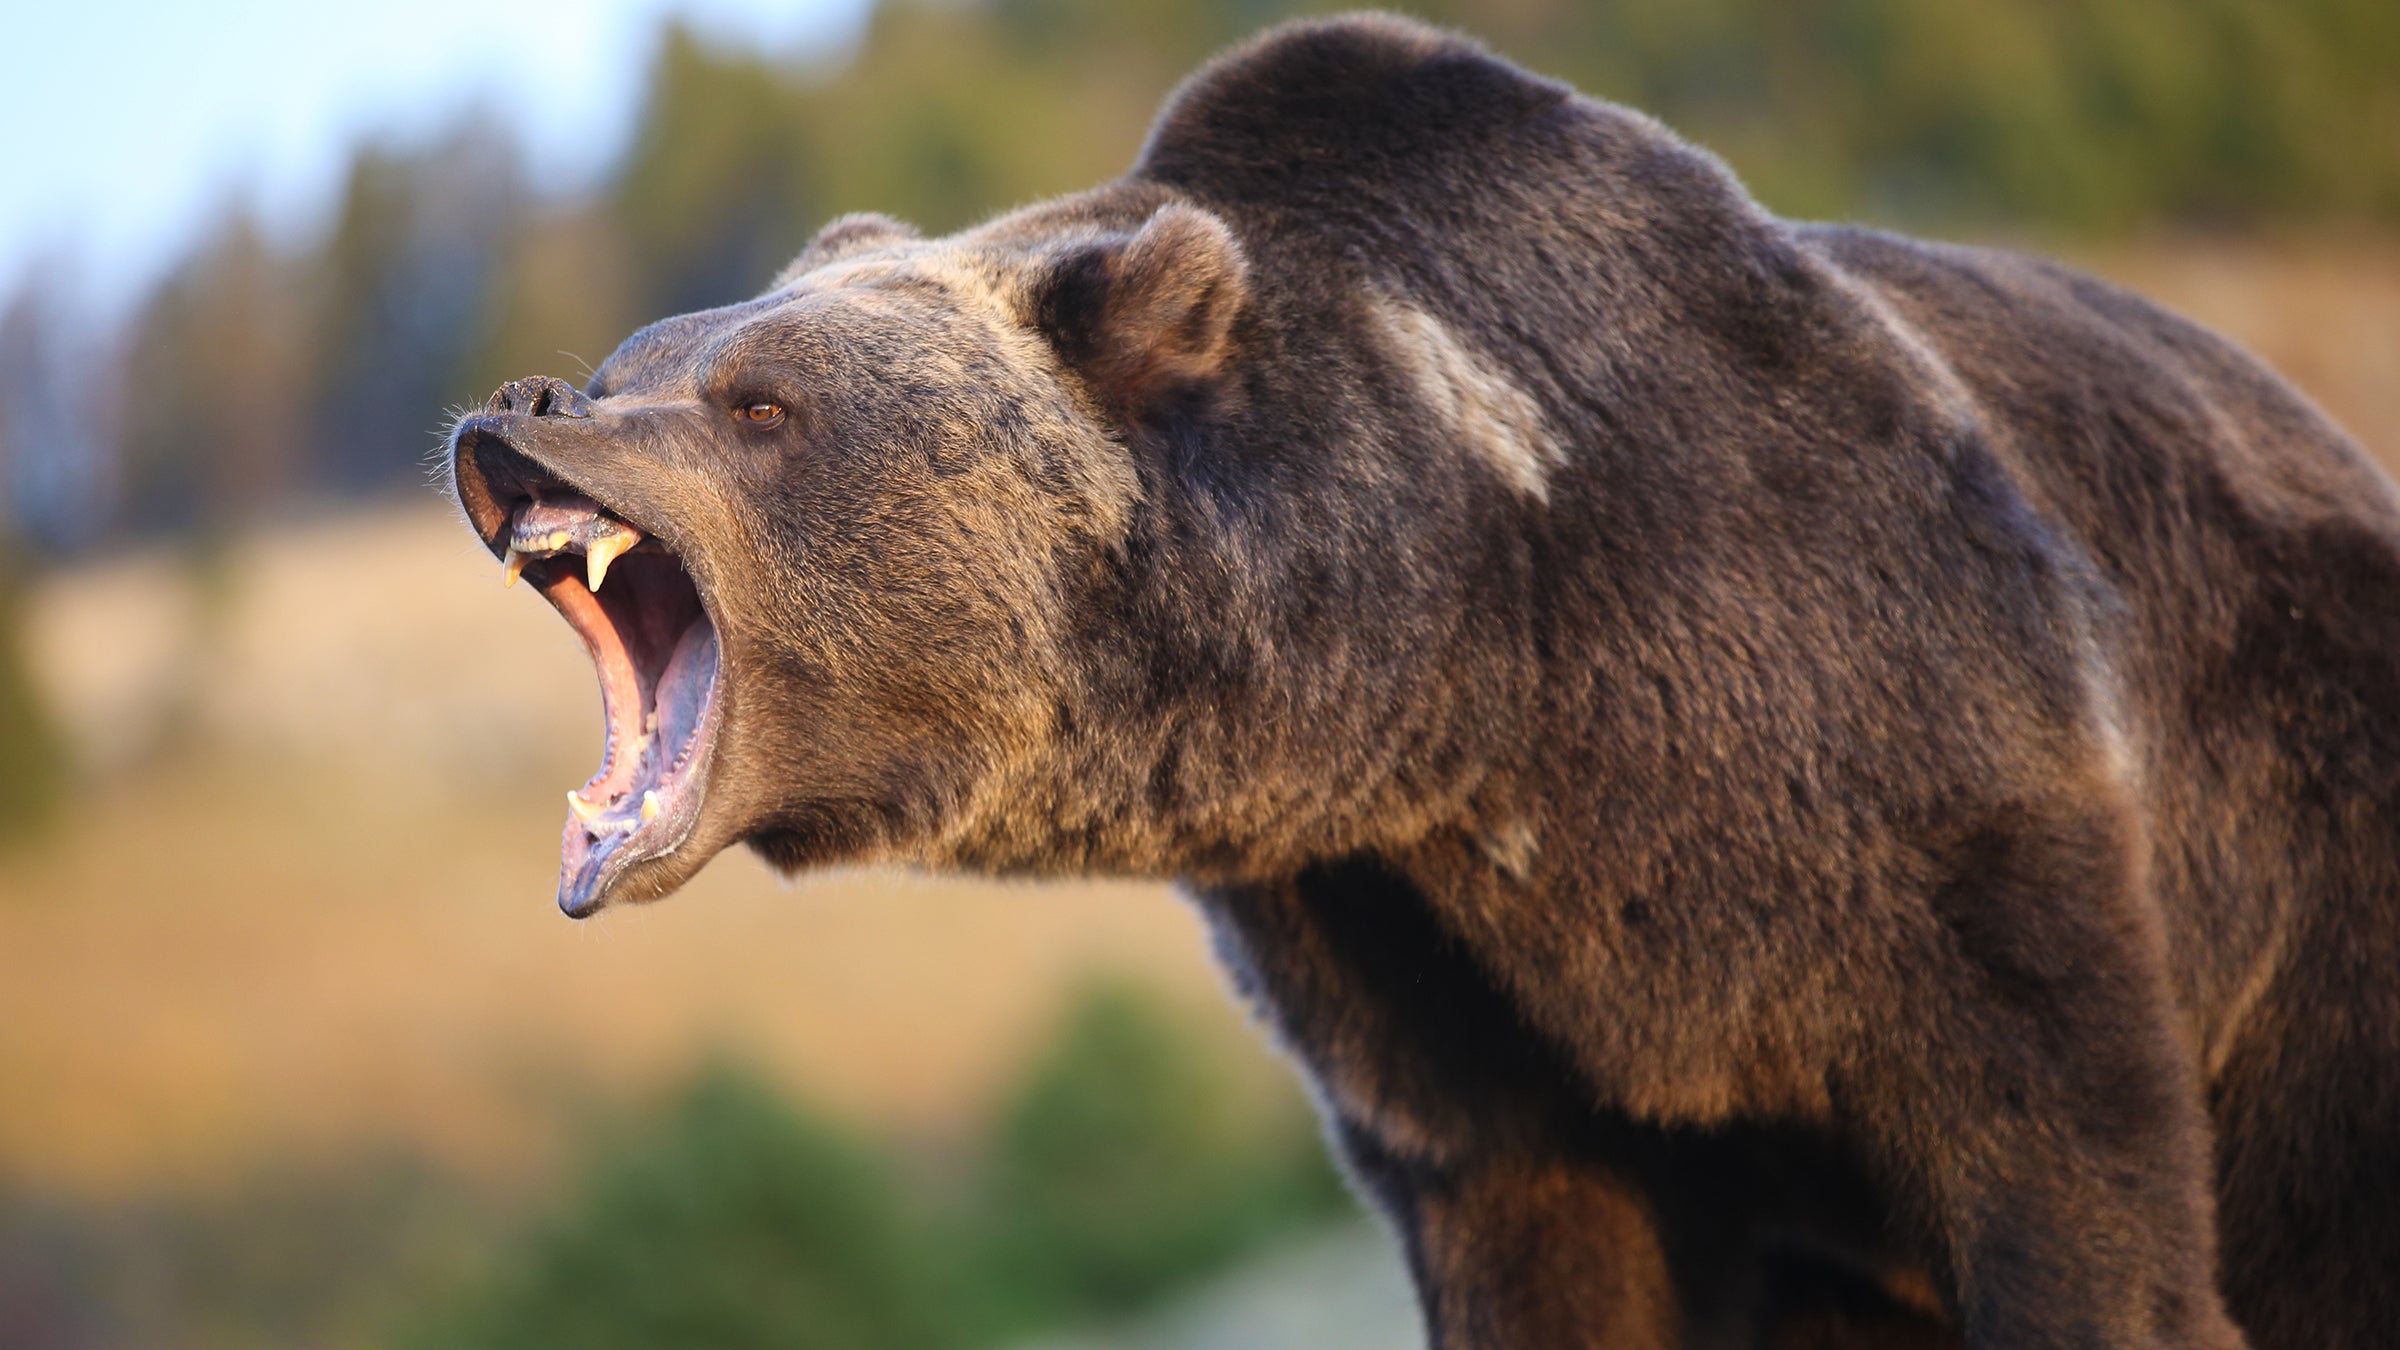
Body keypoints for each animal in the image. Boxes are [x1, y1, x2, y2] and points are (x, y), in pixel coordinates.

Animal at [446, 13, 2400, 1345]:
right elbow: (1536, 1239)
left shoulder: (1927, 780)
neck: (1472, 656)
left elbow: (2068, 1176)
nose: (520, 407)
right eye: (634, 359)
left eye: (759, 402)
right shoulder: (1426, 971)